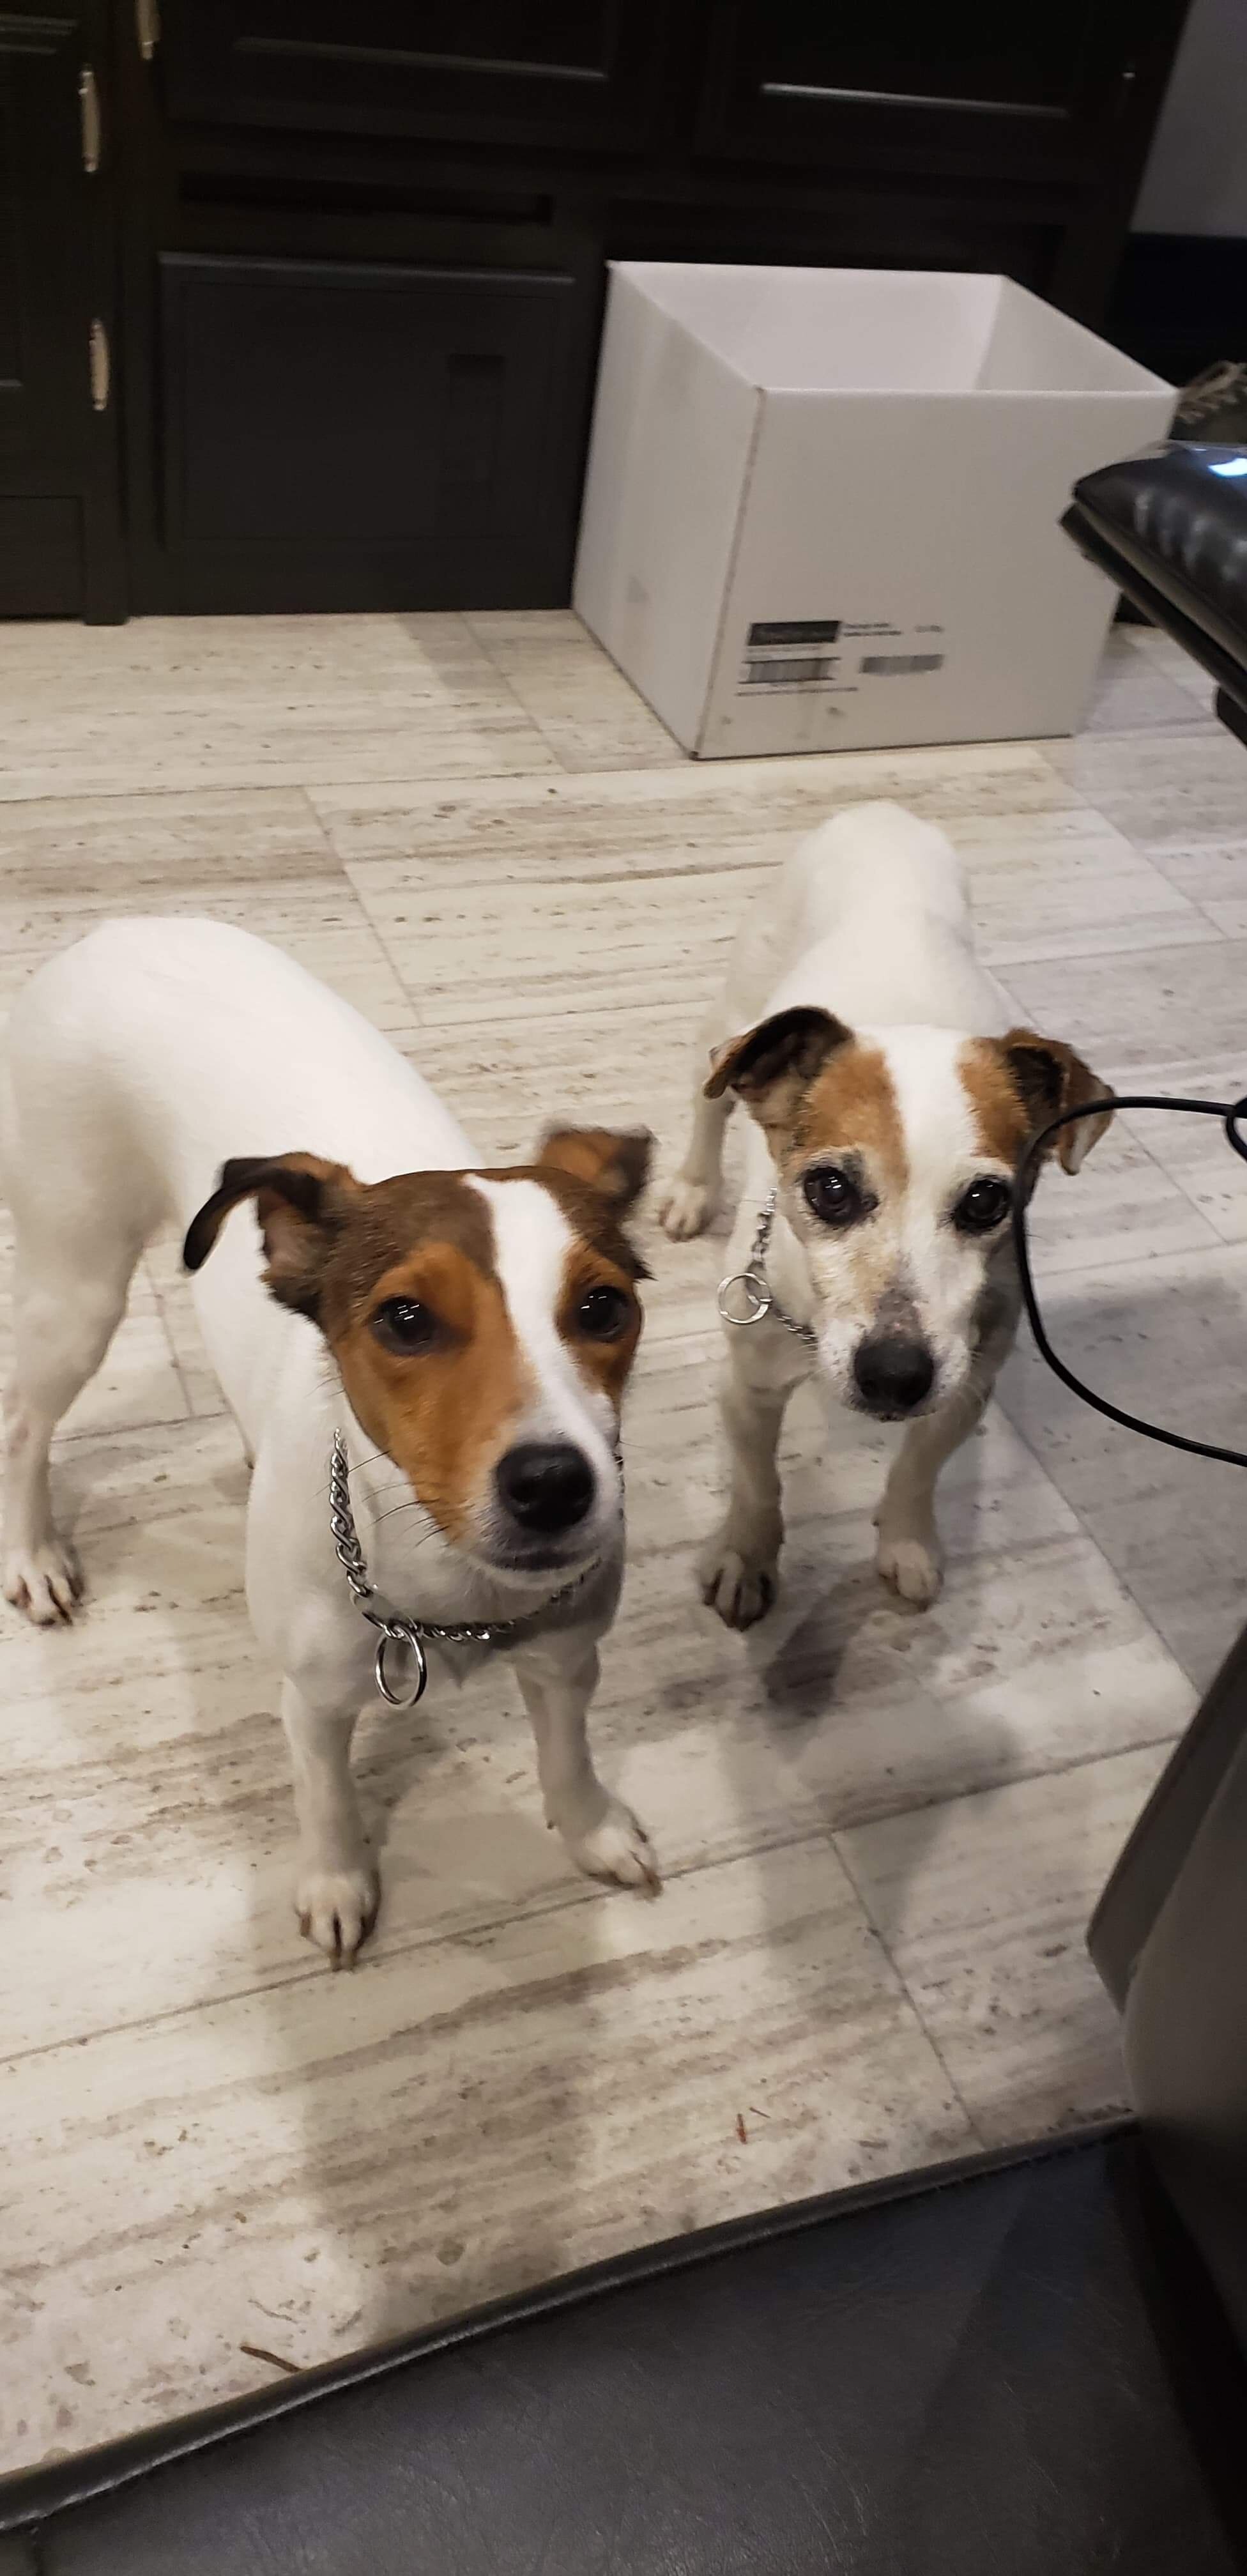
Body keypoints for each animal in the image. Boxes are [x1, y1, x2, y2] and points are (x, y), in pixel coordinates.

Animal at [1, 918, 657, 1962]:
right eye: (404, 1319)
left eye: (603, 1307)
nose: (555, 1484)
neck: (448, 1593)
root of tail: (123, 927)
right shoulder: (310, 1698)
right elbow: (325, 1796)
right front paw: (336, 1881)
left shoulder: (565, 1658)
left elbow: (568, 1753)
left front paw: (591, 1826)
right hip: (78, 1277)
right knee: (26, 1419)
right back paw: (32, 1553)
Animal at [658, 802, 1113, 1627]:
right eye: (829, 1190)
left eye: (986, 1201)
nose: (894, 1376)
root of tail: (883, 814)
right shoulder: (746, 1387)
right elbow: (757, 1481)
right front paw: (745, 1554)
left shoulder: (964, 1388)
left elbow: (916, 1471)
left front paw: (905, 1541)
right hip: (734, 1012)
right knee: (708, 1102)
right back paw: (691, 1186)